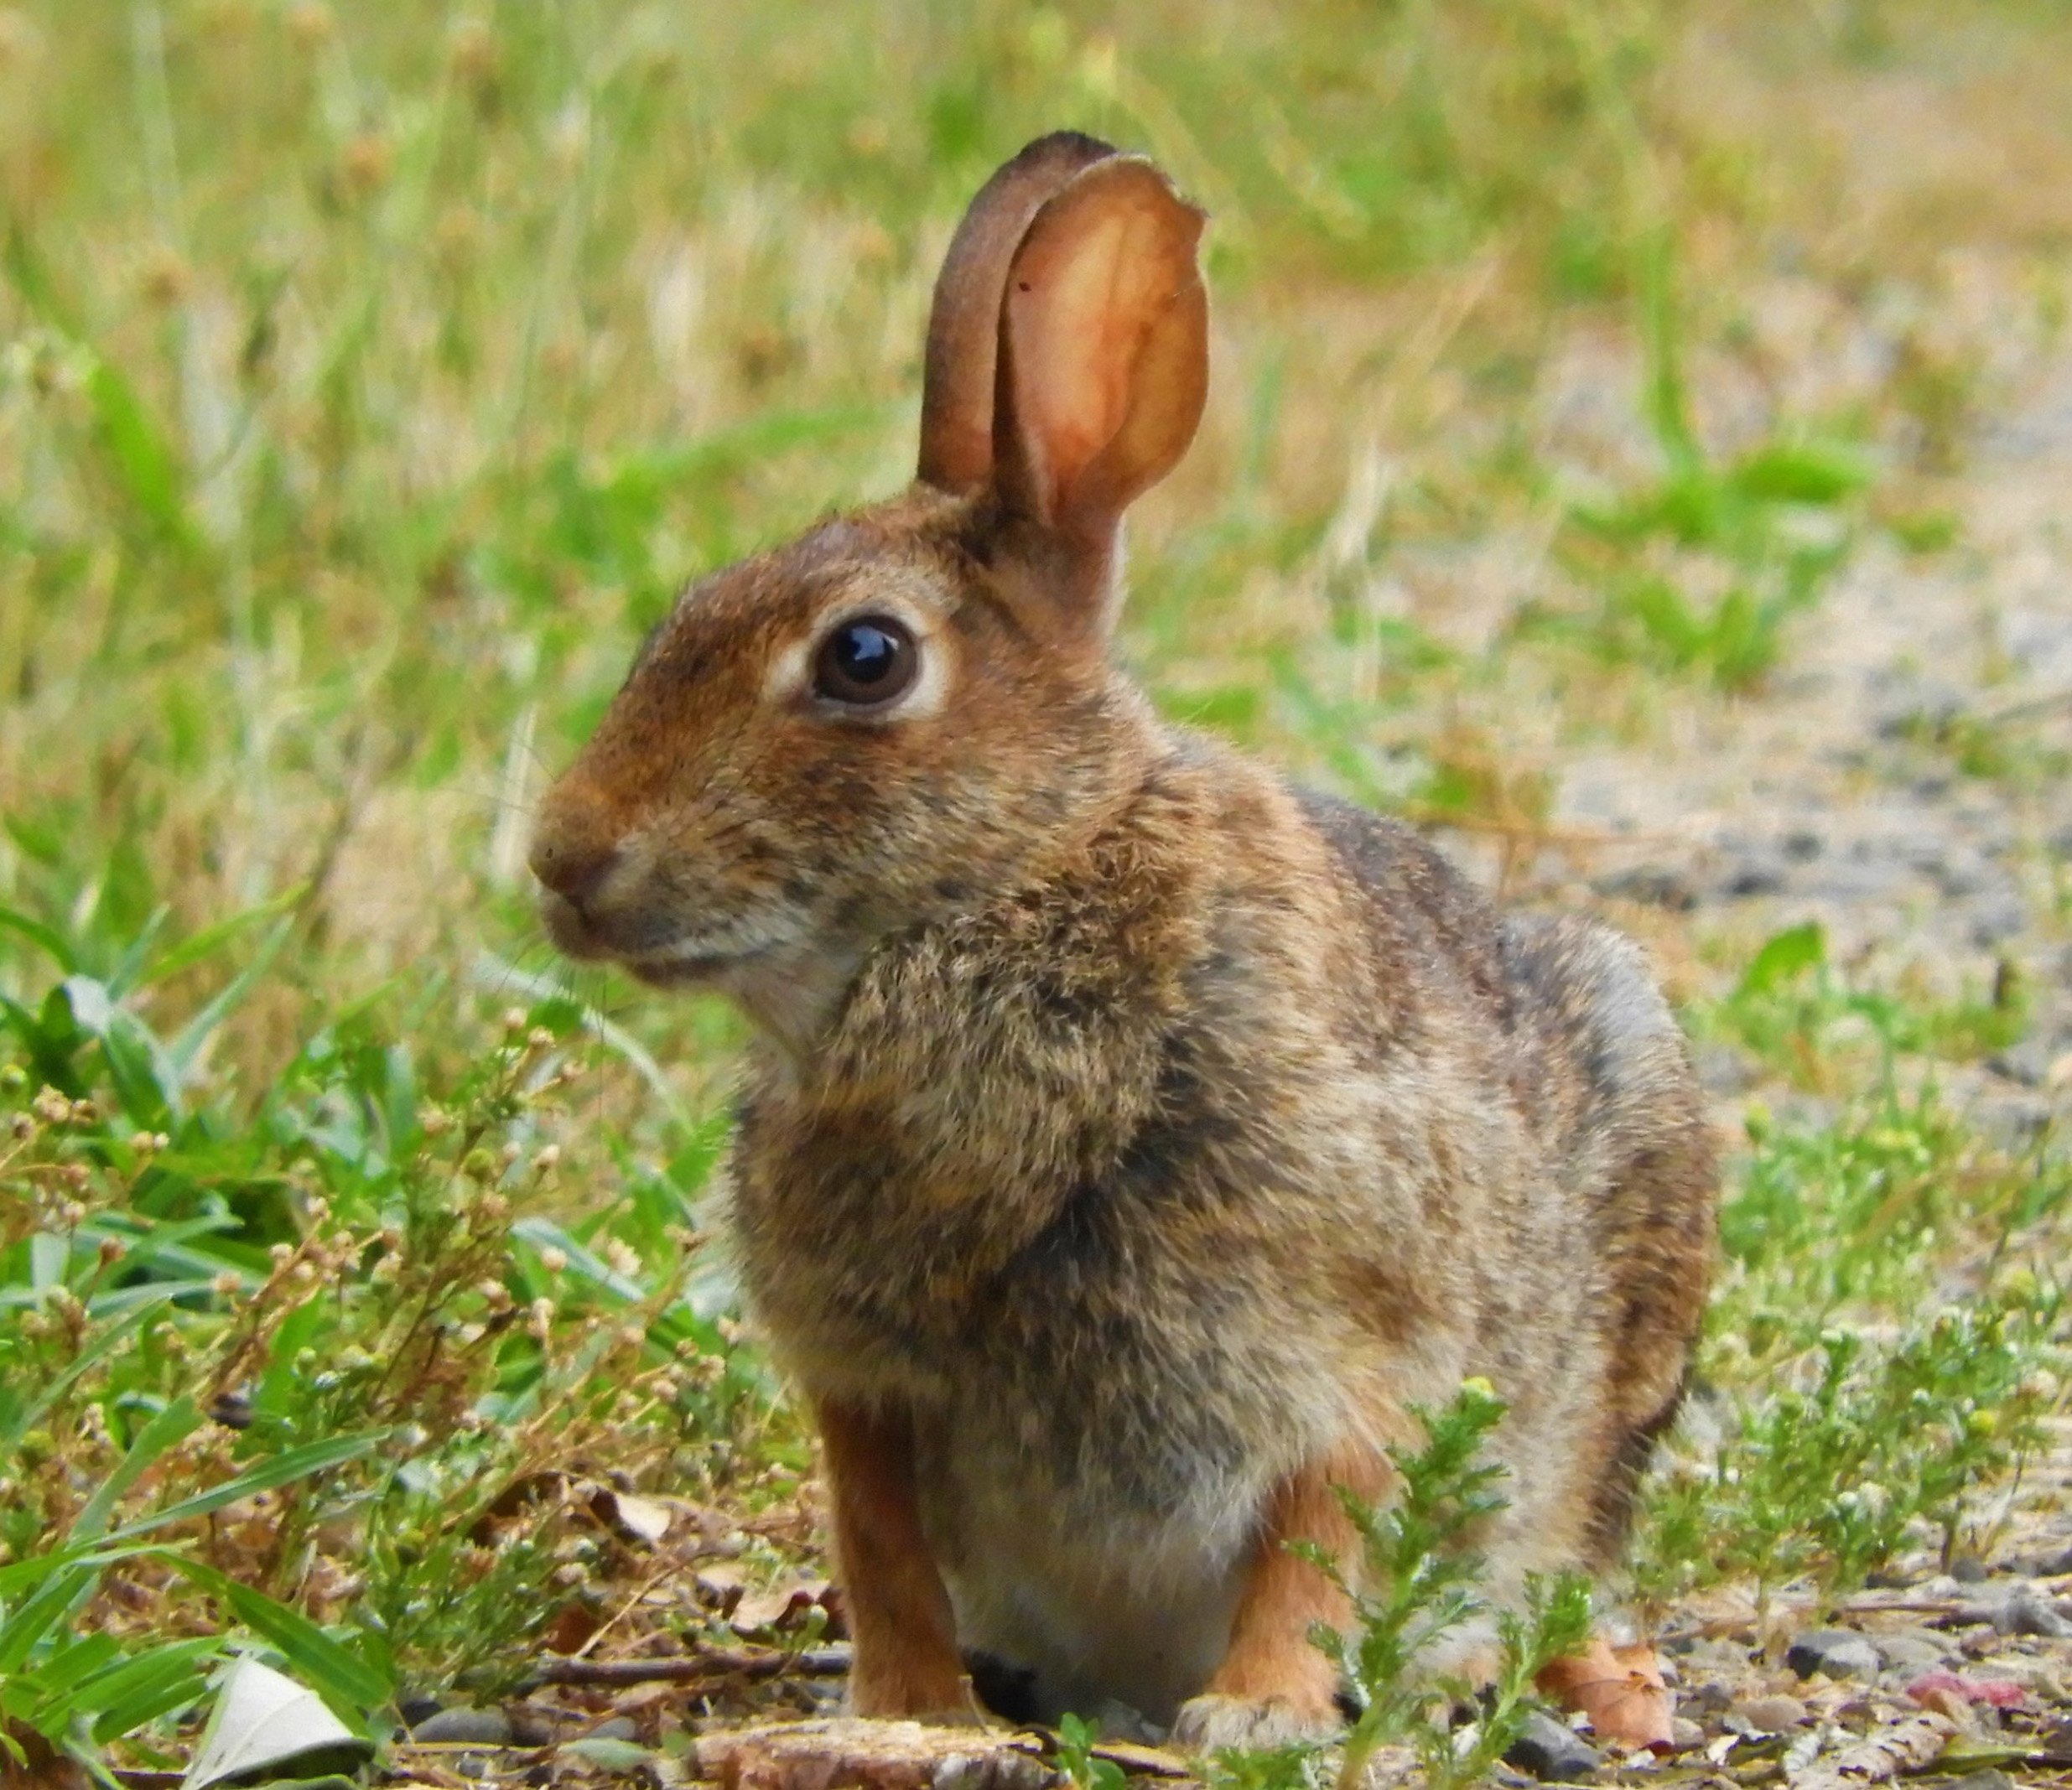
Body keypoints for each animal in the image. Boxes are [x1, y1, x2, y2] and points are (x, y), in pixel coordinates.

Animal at [529, 131, 1717, 1751]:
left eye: (863, 657)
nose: (563, 863)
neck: (1018, 891)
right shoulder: (864, 1384)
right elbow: (878, 1543)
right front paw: (905, 1714)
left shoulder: (1348, 1346)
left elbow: (1314, 1535)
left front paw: (1259, 1716)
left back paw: (1598, 1683)